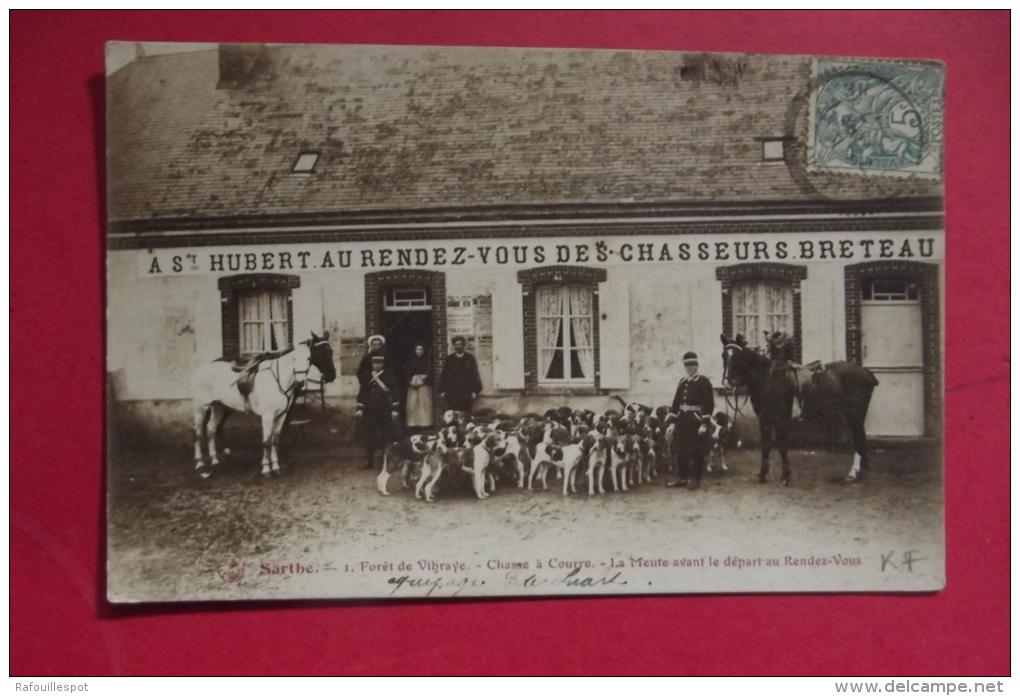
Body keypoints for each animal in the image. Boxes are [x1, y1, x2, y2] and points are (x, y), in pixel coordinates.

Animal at [190, 332, 334, 477]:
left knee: (210, 429)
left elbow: (275, 440)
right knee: (198, 432)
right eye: (319, 352)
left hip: (218, 406)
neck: (279, 379)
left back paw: (215, 460)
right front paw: (266, 469)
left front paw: (276, 466)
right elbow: (266, 442)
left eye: (309, 358)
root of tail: (201, 370)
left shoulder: (281, 415)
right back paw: (200, 465)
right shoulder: (267, 415)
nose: (331, 376)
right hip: (201, 407)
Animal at [722, 330, 881, 481]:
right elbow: (765, 446)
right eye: (724, 356)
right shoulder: (765, 420)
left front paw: (785, 476)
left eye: (738, 357)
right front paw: (763, 475)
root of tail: (865, 372)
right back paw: (860, 470)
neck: (767, 379)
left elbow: (782, 447)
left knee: (859, 437)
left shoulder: (779, 421)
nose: (728, 383)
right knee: (861, 437)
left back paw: (853, 473)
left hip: (854, 413)